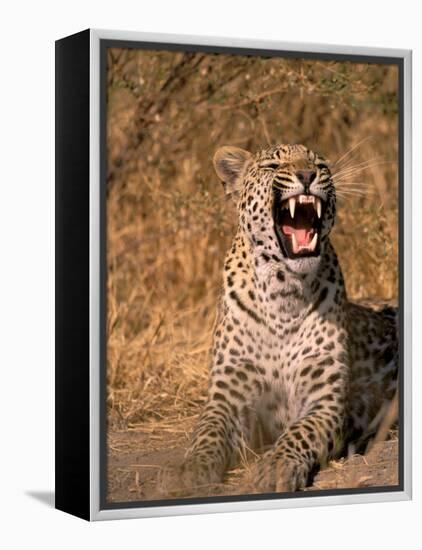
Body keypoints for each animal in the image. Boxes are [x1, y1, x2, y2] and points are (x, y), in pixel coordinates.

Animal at [159, 143, 398, 496]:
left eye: (320, 164)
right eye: (273, 166)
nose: (307, 174)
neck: (283, 292)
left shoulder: (324, 401)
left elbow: (300, 432)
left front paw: (275, 467)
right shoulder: (227, 396)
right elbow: (207, 432)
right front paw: (191, 470)